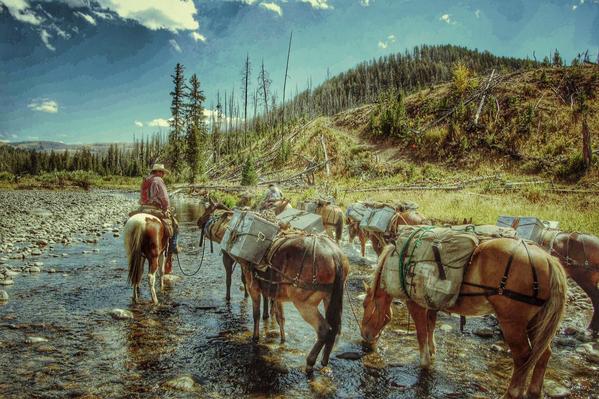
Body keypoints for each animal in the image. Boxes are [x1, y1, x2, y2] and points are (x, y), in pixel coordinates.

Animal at [199, 200, 350, 368]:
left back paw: (310, 361)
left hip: (305, 303)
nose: (199, 222)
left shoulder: (253, 286)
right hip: (330, 298)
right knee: (335, 328)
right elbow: (280, 318)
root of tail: (336, 257)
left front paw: (255, 337)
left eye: (209, 210)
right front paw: (282, 339)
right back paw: (324, 360)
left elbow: (256, 314)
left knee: (324, 329)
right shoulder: (276, 293)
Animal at [360, 238, 568, 399]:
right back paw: (534, 391)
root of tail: (548, 259)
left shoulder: (416, 305)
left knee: (524, 357)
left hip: (512, 324)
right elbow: (430, 328)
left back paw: (512, 393)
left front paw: (425, 363)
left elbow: (421, 334)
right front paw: (433, 352)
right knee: (543, 354)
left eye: (364, 305)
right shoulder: (431, 304)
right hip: (536, 322)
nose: (364, 337)